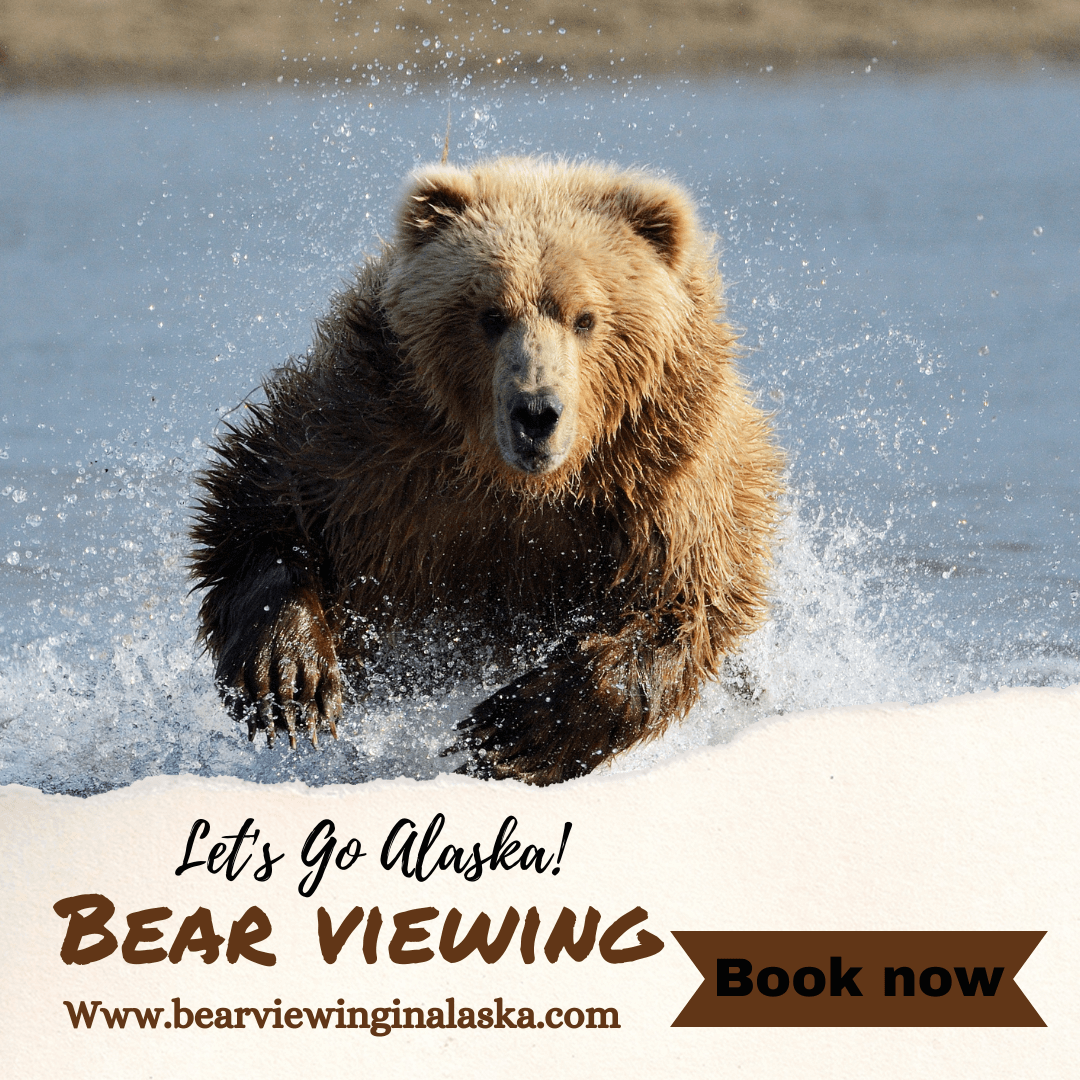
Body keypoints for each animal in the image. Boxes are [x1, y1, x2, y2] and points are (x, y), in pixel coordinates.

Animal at [190, 157, 783, 785]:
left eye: (586, 317)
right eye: (490, 314)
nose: (537, 412)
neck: (515, 482)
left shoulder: (663, 479)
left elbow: (680, 603)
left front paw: (511, 731)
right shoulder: (372, 438)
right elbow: (264, 502)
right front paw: (290, 676)